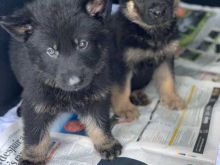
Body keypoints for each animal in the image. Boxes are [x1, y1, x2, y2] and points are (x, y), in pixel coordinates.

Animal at [0, 0, 122, 164]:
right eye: (51, 51)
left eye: (82, 44)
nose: (74, 82)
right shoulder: (35, 104)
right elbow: (35, 134)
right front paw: (32, 158)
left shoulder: (97, 97)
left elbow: (99, 123)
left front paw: (106, 143)